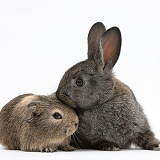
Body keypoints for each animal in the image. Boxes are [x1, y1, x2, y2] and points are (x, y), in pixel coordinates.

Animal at [55, 21, 159, 151]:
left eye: (79, 82)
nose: (58, 94)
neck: (105, 100)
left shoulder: (138, 124)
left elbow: (145, 135)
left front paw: (156, 144)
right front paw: (110, 146)